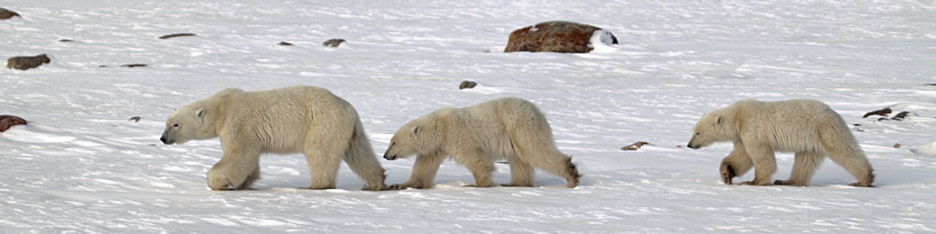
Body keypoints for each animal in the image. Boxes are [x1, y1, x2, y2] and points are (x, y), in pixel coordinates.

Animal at [159, 85, 386, 191]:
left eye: (175, 125)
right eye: (166, 123)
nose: (163, 138)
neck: (221, 107)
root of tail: (348, 108)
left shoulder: (237, 123)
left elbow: (240, 154)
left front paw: (219, 182)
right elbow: (250, 161)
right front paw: (244, 183)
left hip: (322, 123)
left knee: (320, 153)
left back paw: (315, 185)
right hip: (349, 128)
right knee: (359, 152)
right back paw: (375, 182)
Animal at [380, 97, 576, 190]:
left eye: (393, 142)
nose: (385, 155)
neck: (438, 126)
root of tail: (538, 111)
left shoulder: (455, 132)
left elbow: (473, 157)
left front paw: (477, 184)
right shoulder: (436, 147)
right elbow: (423, 167)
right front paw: (400, 184)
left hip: (520, 126)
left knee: (536, 150)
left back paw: (571, 175)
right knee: (519, 159)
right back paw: (514, 183)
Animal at [684, 98, 872, 186]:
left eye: (698, 132)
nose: (689, 145)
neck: (738, 116)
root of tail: (834, 113)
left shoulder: (752, 127)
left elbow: (759, 154)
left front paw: (753, 182)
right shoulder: (741, 136)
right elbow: (741, 156)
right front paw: (726, 173)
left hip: (824, 129)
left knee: (843, 151)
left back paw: (864, 179)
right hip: (810, 141)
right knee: (805, 161)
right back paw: (787, 181)